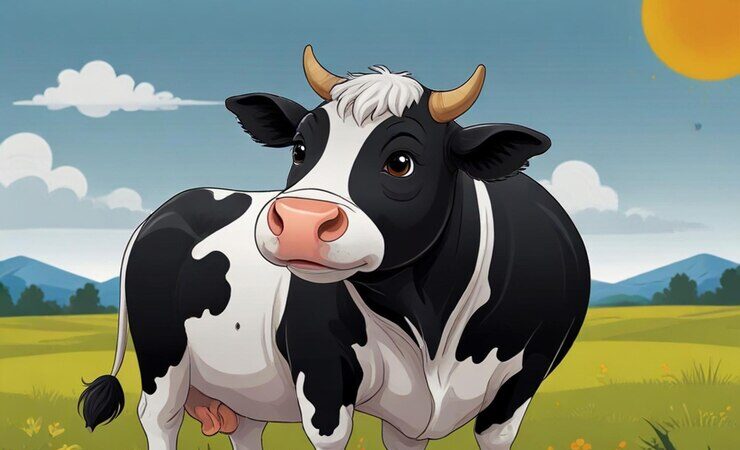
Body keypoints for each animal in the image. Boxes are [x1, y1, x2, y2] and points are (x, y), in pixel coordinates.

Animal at [79, 45, 590, 450]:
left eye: (401, 161)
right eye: (300, 149)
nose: (301, 223)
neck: (428, 322)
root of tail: (170, 206)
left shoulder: (515, 392)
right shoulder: (323, 383)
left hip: (243, 387)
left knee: (244, 428)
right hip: (162, 356)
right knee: (159, 420)